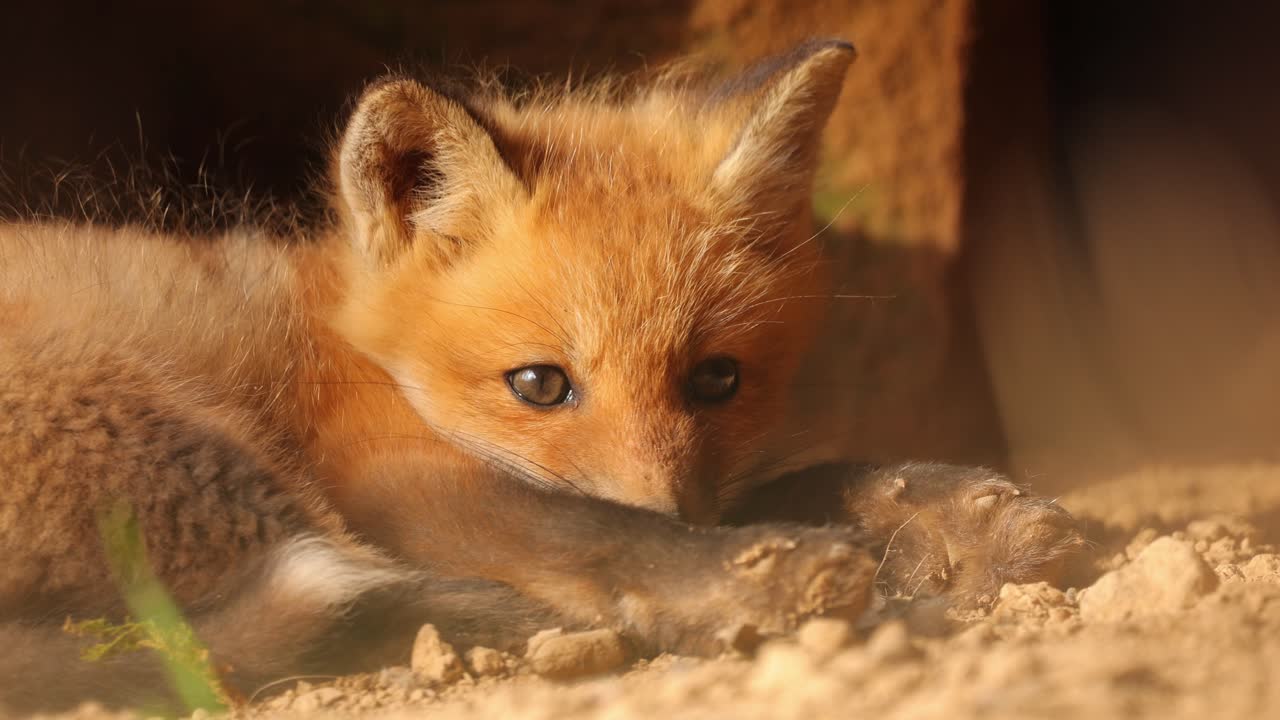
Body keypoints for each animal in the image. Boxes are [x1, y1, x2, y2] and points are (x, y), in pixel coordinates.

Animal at [0, 40, 1082, 713]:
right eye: (538, 386)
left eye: (716, 381)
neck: (362, 357)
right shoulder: (386, 481)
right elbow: (592, 527)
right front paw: (763, 575)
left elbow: (783, 484)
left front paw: (941, 514)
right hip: (191, 451)